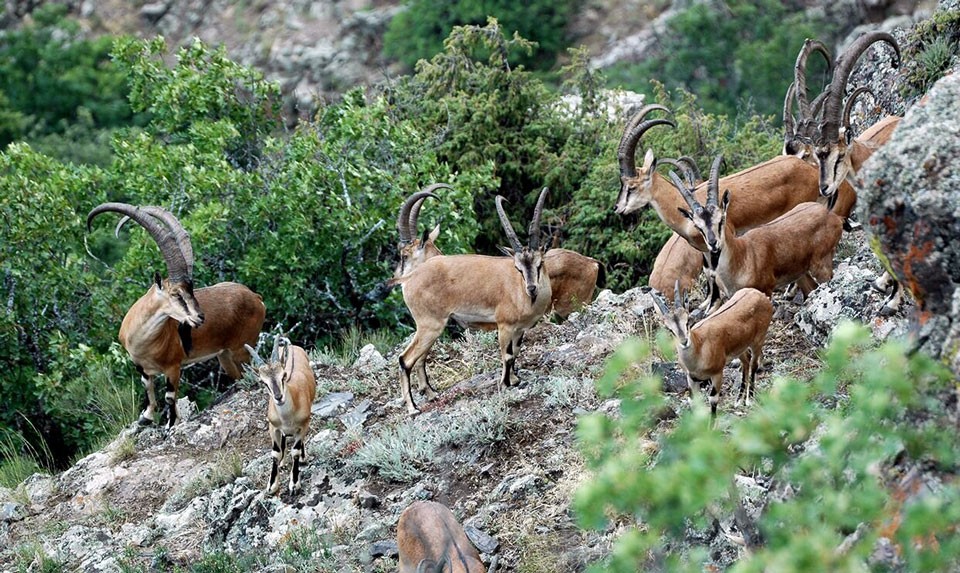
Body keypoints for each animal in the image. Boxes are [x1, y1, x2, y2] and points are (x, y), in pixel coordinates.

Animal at [87, 203, 266, 428]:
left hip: (242, 348)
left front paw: (171, 424)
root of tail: (256, 297)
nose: (200, 317)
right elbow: (148, 388)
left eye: (191, 289)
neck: (142, 338)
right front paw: (145, 418)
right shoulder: (141, 367)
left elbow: (170, 396)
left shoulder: (173, 367)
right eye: (176, 293)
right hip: (225, 355)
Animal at [244, 336, 316, 496]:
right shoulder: (273, 428)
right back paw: (283, 462)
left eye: (283, 375)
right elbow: (275, 453)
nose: (278, 397)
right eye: (263, 382)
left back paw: (303, 458)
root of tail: (293, 346)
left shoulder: (304, 425)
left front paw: (294, 484)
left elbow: (295, 450)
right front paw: (272, 485)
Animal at [392, 188, 552, 415]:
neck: (519, 290)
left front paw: (515, 379)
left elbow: (515, 353)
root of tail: (409, 279)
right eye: (518, 267)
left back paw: (429, 396)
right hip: (430, 325)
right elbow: (507, 355)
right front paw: (505, 384)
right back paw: (413, 408)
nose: (532, 288)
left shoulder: (519, 330)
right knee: (405, 359)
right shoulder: (504, 326)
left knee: (417, 357)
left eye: (539, 264)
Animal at [653, 282, 773, 417]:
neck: (699, 348)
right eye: (669, 329)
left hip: (758, 340)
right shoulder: (691, 378)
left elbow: (713, 399)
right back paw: (738, 400)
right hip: (739, 347)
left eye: (688, 321)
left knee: (754, 363)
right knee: (746, 361)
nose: (684, 342)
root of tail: (761, 295)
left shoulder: (717, 373)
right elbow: (692, 401)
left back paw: (749, 399)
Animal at [672, 156, 843, 303]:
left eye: (721, 220)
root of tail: (832, 217)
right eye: (697, 226)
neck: (742, 256)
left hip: (821, 266)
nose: (714, 243)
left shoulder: (765, 291)